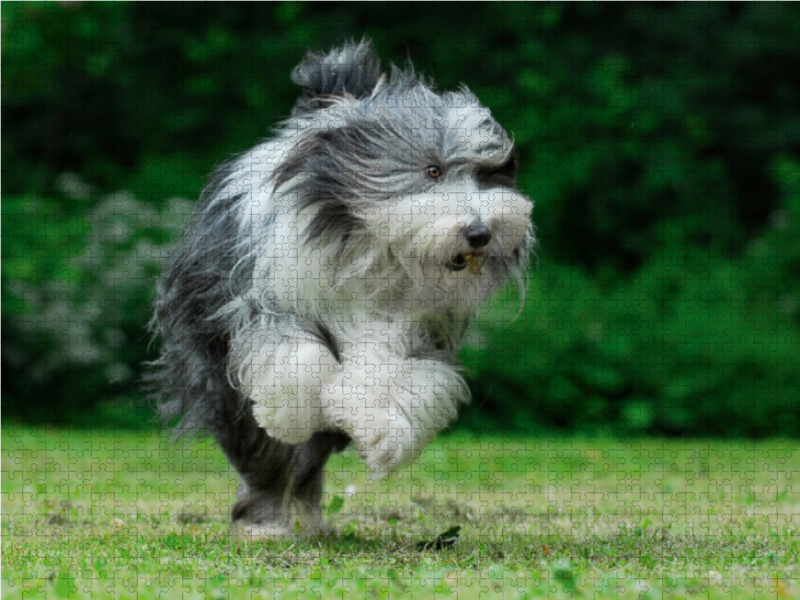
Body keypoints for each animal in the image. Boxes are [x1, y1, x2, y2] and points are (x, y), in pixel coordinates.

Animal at [150, 42, 536, 540]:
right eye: (432, 170)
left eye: (489, 176)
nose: (480, 233)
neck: (377, 249)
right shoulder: (261, 299)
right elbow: (296, 357)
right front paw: (293, 412)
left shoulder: (416, 331)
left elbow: (404, 379)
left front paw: (383, 435)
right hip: (218, 374)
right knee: (263, 457)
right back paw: (266, 522)